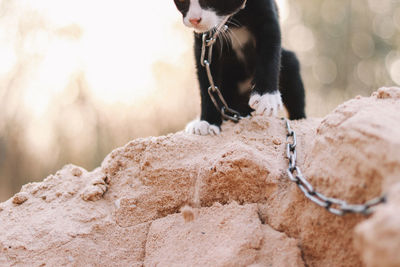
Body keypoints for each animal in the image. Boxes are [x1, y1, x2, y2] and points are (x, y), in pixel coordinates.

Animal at [173, 0, 304, 135]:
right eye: (182, 1)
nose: (194, 19)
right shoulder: (204, 42)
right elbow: (207, 81)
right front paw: (208, 121)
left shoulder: (267, 20)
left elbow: (269, 53)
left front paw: (266, 97)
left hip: (289, 62)